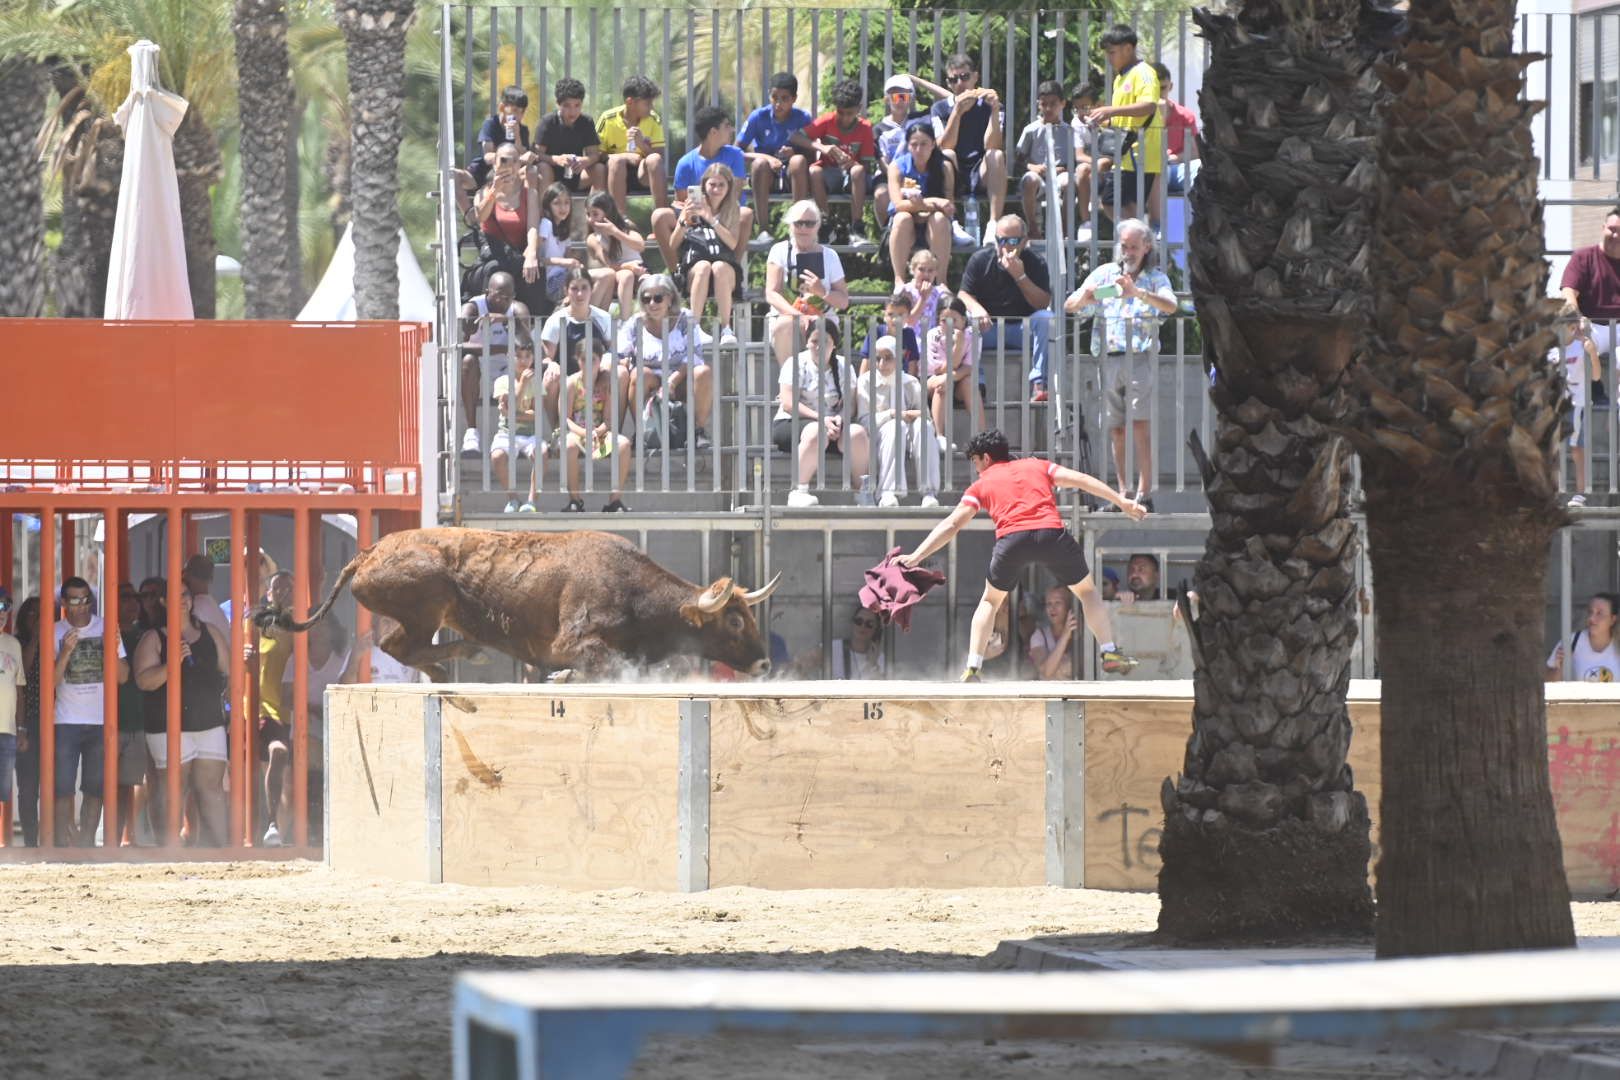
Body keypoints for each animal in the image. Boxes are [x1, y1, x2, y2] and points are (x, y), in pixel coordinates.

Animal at [255, 527, 780, 680]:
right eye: (735, 621)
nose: (764, 662)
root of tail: (370, 553)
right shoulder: (571, 642)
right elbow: (595, 662)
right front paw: (564, 677)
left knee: (394, 646)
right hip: (428, 605)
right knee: (398, 646)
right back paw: (461, 657)